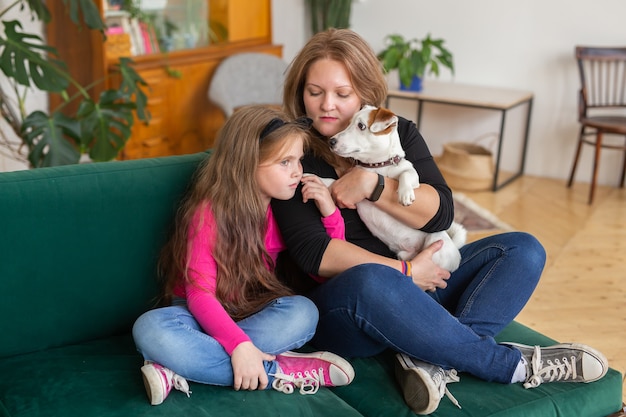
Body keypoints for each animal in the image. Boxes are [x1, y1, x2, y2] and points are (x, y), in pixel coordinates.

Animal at [316, 105, 464, 272]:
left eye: (361, 126)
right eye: (348, 123)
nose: (331, 141)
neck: (376, 167)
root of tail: (456, 250)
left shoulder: (412, 174)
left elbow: (406, 174)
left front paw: (405, 194)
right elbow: (332, 181)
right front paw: (312, 177)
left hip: (435, 242)